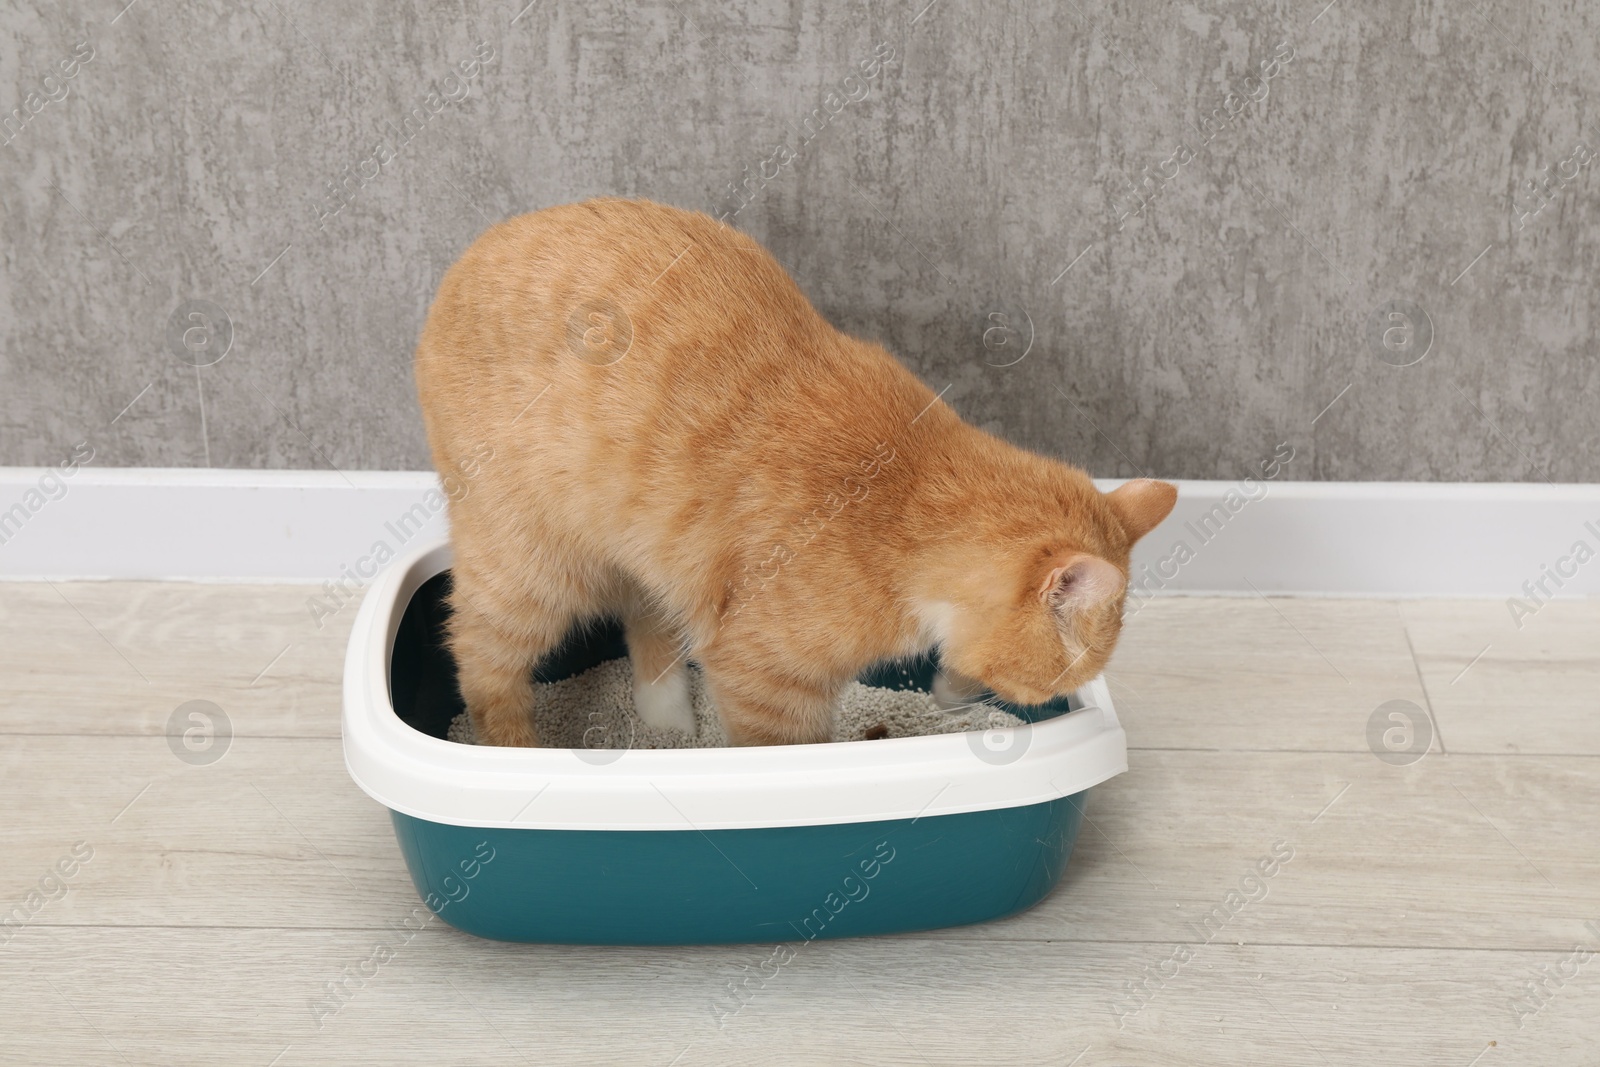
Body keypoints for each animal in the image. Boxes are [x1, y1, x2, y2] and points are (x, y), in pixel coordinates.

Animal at [419, 202, 1184, 751]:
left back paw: (667, 728)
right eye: (1045, 679)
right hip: (531, 566)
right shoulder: (762, 679)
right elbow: (787, 751)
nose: (957, 700)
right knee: (477, 654)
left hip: (648, 541)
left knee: (648, 621)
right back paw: (515, 751)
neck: (905, 510)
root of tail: (469, 256)